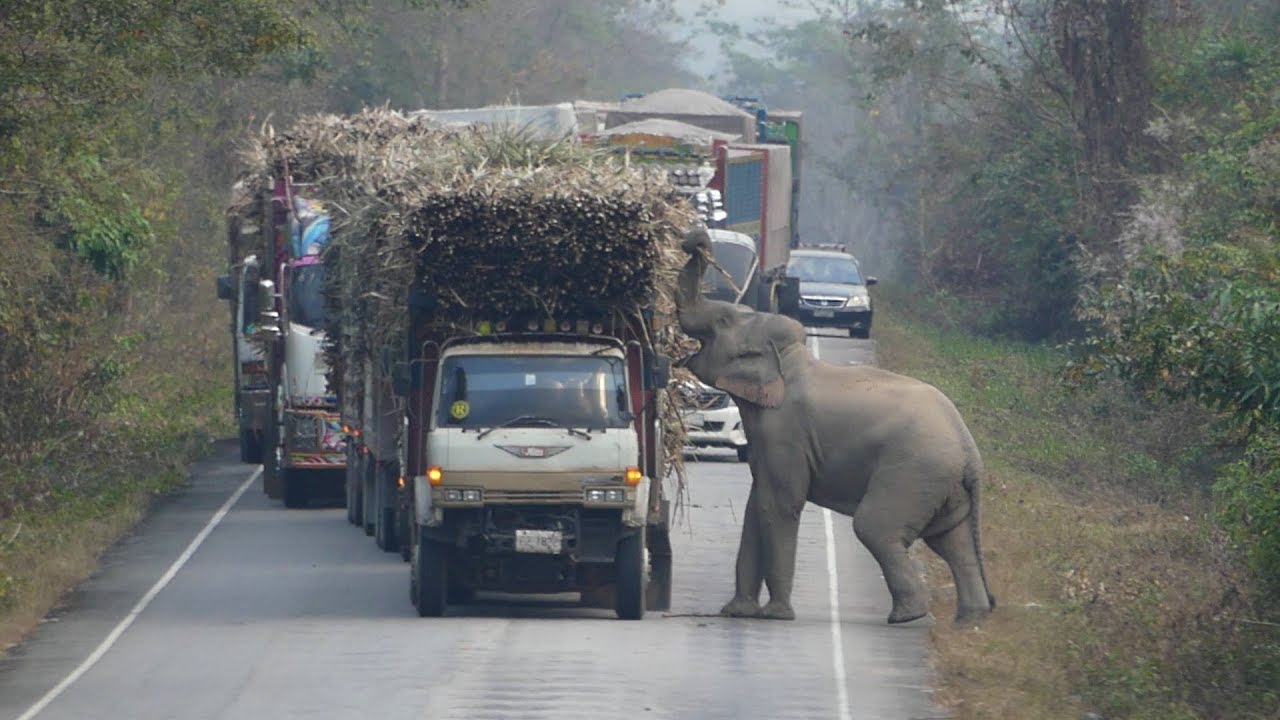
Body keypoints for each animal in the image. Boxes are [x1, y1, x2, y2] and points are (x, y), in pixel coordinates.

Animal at [675, 229, 993, 622]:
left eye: (721, 321)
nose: (692, 240)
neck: (791, 359)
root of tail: (970, 453)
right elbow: (755, 504)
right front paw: (736, 612)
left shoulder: (786, 431)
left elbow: (778, 504)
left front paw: (775, 616)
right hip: (944, 485)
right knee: (953, 542)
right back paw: (970, 619)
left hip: (914, 472)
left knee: (876, 527)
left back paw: (907, 615)